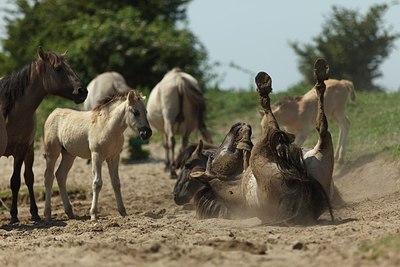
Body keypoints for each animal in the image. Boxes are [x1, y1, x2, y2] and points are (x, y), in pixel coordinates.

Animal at [0, 46, 87, 224]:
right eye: (58, 68)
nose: (83, 91)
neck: (10, 111)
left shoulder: (21, 149)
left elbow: (16, 181)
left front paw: (14, 215)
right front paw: (13, 216)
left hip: (29, 151)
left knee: (29, 178)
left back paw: (35, 213)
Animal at [42, 90, 152, 222]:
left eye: (146, 112)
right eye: (136, 112)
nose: (147, 133)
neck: (108, 127)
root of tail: (53, 113)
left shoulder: (114, 157)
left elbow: (116, 183)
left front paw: (123, 212)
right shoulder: (96, 156)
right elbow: (97, 183)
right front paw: (93, 214)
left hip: (69, 155)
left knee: (60, 175)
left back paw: (70, 212)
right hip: (52, 154)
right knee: (49, 177)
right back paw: (47, 214)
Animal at [189, 59, 336, 225]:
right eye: (212, 157)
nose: (237, 125)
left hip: (322, 158)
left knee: (321, 127)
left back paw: (320, 73)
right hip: (266, 153)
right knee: (275, 124)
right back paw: (265, 85)